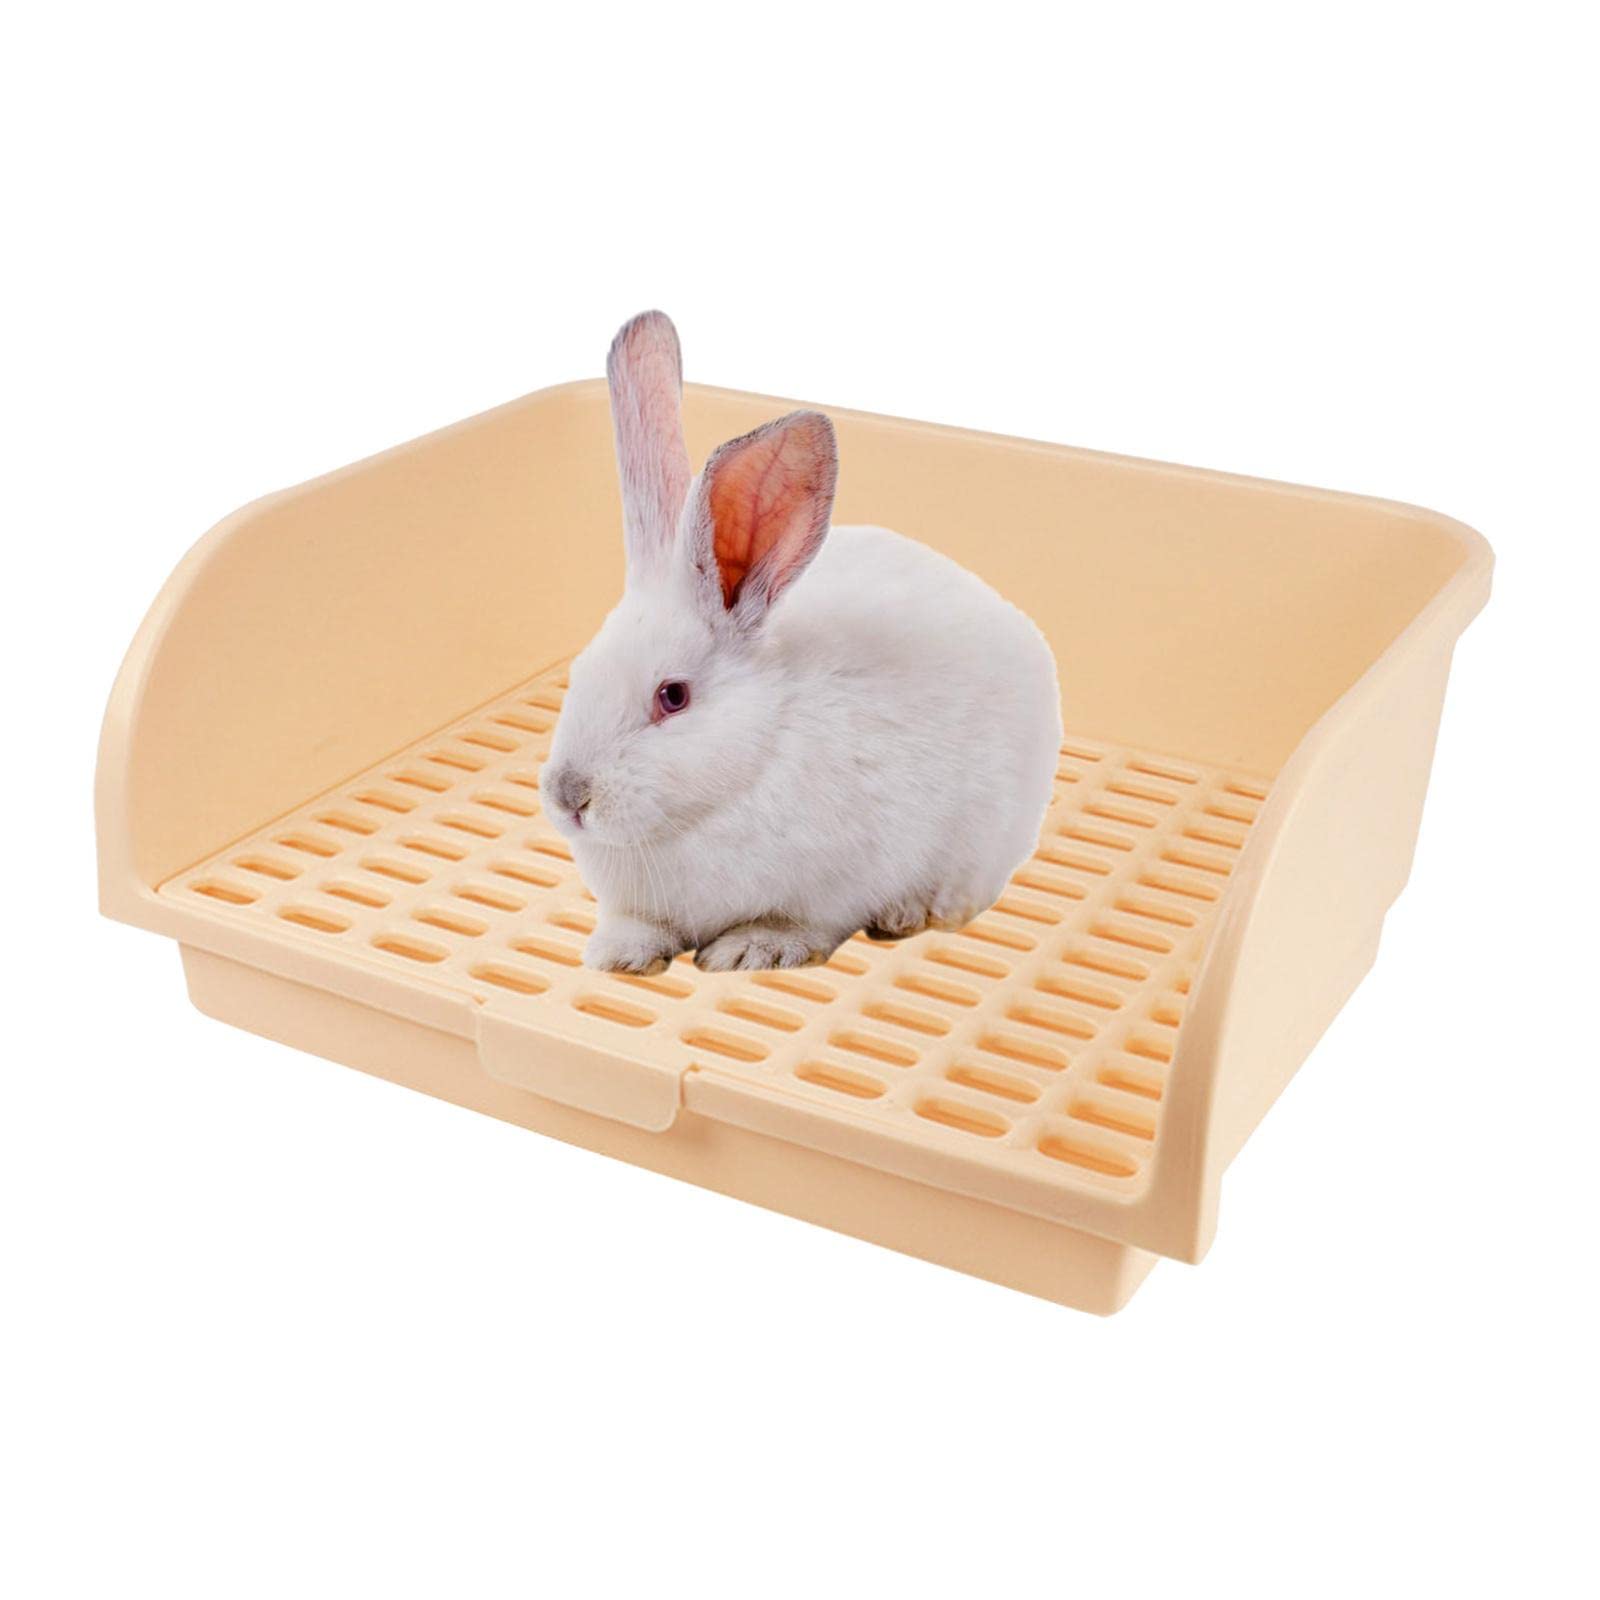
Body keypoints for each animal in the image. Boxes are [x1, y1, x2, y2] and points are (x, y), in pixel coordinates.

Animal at [540, 310, 1061, 973]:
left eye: (673, 696)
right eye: (580, 671)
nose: (569, 796)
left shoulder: (836, 887)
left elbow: (801, 924)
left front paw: (748, 950)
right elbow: (638, 926)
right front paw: (616, 955)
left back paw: (911, 913)